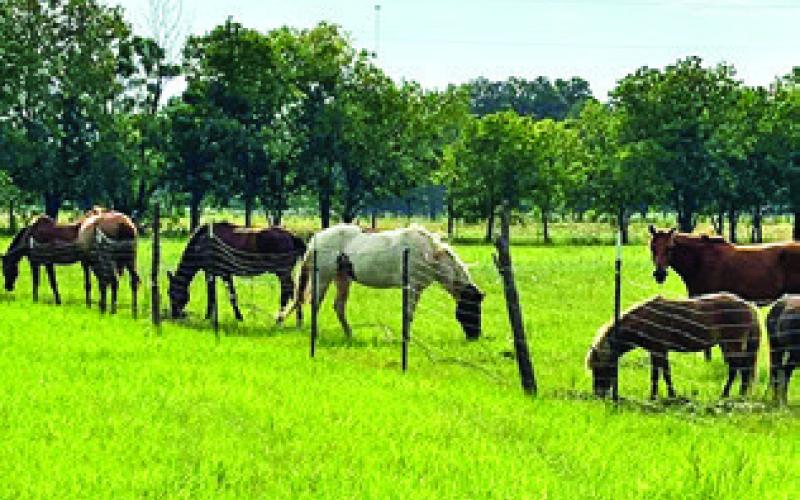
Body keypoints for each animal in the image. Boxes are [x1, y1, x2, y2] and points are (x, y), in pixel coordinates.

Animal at [167, 223, 306, 321]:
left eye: (171, 292)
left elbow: (220, 296)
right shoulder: (223, 274)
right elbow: (224, 295)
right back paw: (297, 320)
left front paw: (210, 317)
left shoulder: (214, 273)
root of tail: (292, 236)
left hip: (283, 273)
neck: (201, 243)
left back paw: (281, 319)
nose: (174, 315)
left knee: (288, 293)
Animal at [276, 224, 485, 340]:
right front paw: (405, 338)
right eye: (472, 308)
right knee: (315, 304)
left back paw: (349, 335)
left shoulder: (416, 289)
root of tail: (315, 239)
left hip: (342, 279)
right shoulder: (412, 287)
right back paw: (316, 333)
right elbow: (408, 314)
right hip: (324, 278)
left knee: (338, 306)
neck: (430, 254)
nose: (475, 336)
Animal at [586, 293, 760, 400]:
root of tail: (748, 306)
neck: (646, 319)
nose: (598, 394)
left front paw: (668, 395)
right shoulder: (655, 351)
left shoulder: (660, 350)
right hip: (727, 346)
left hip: (732, 345)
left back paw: (729, 395)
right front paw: (655, 396)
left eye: (600, 368)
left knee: (738, 368)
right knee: (739, 368)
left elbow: (664, 374)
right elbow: (657, 374)